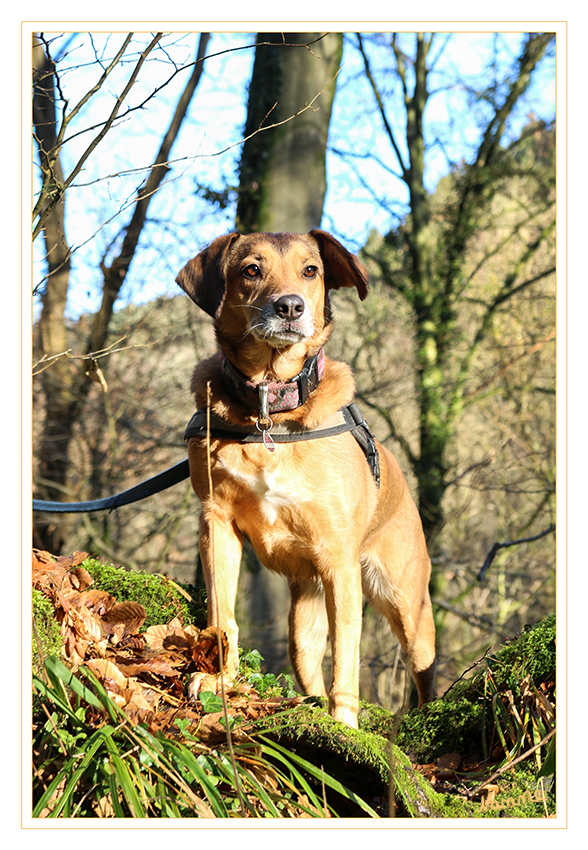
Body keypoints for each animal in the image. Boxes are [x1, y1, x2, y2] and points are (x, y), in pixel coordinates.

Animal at [177, 229, 434, 724]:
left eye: (310, 270)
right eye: (251, 270)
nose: (291, 307)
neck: (270, 408)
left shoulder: (340, 563)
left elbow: (347, 659)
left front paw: (345, 722)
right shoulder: (215, 524)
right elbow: (222, 614)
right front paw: (221, 680)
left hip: (405, 601)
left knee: (423, 668)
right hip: (302, 622)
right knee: (309, 668)